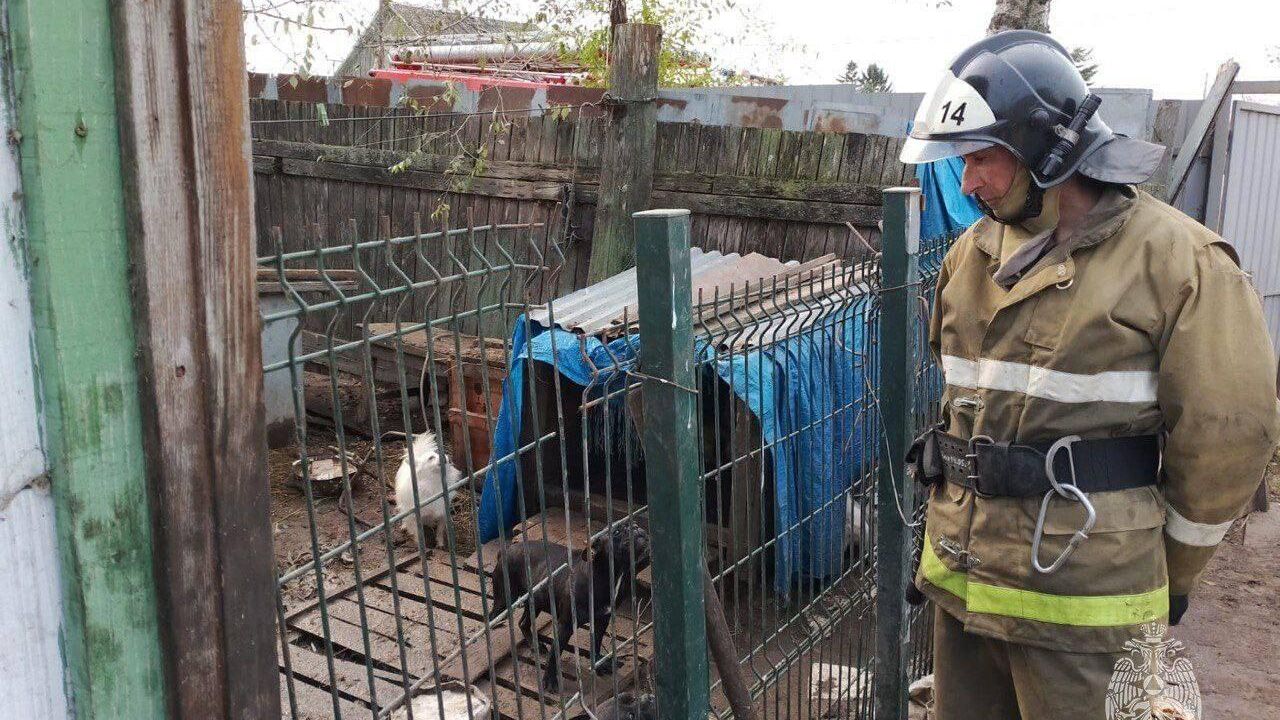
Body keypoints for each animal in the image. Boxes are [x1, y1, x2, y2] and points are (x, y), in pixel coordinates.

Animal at [486, 520, 655, 691]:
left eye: (634, 523)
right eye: (616, 532)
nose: (636, 528)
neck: (609, 576)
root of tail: (507, 550)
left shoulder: (602, 620)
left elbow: (597, 642)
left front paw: (598, 663)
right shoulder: (565, 626)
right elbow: (555, 653)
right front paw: (550, 679)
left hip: (536, 601)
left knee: (523, 623)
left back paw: (535, 645)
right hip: (504, 600)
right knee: (495, 617)